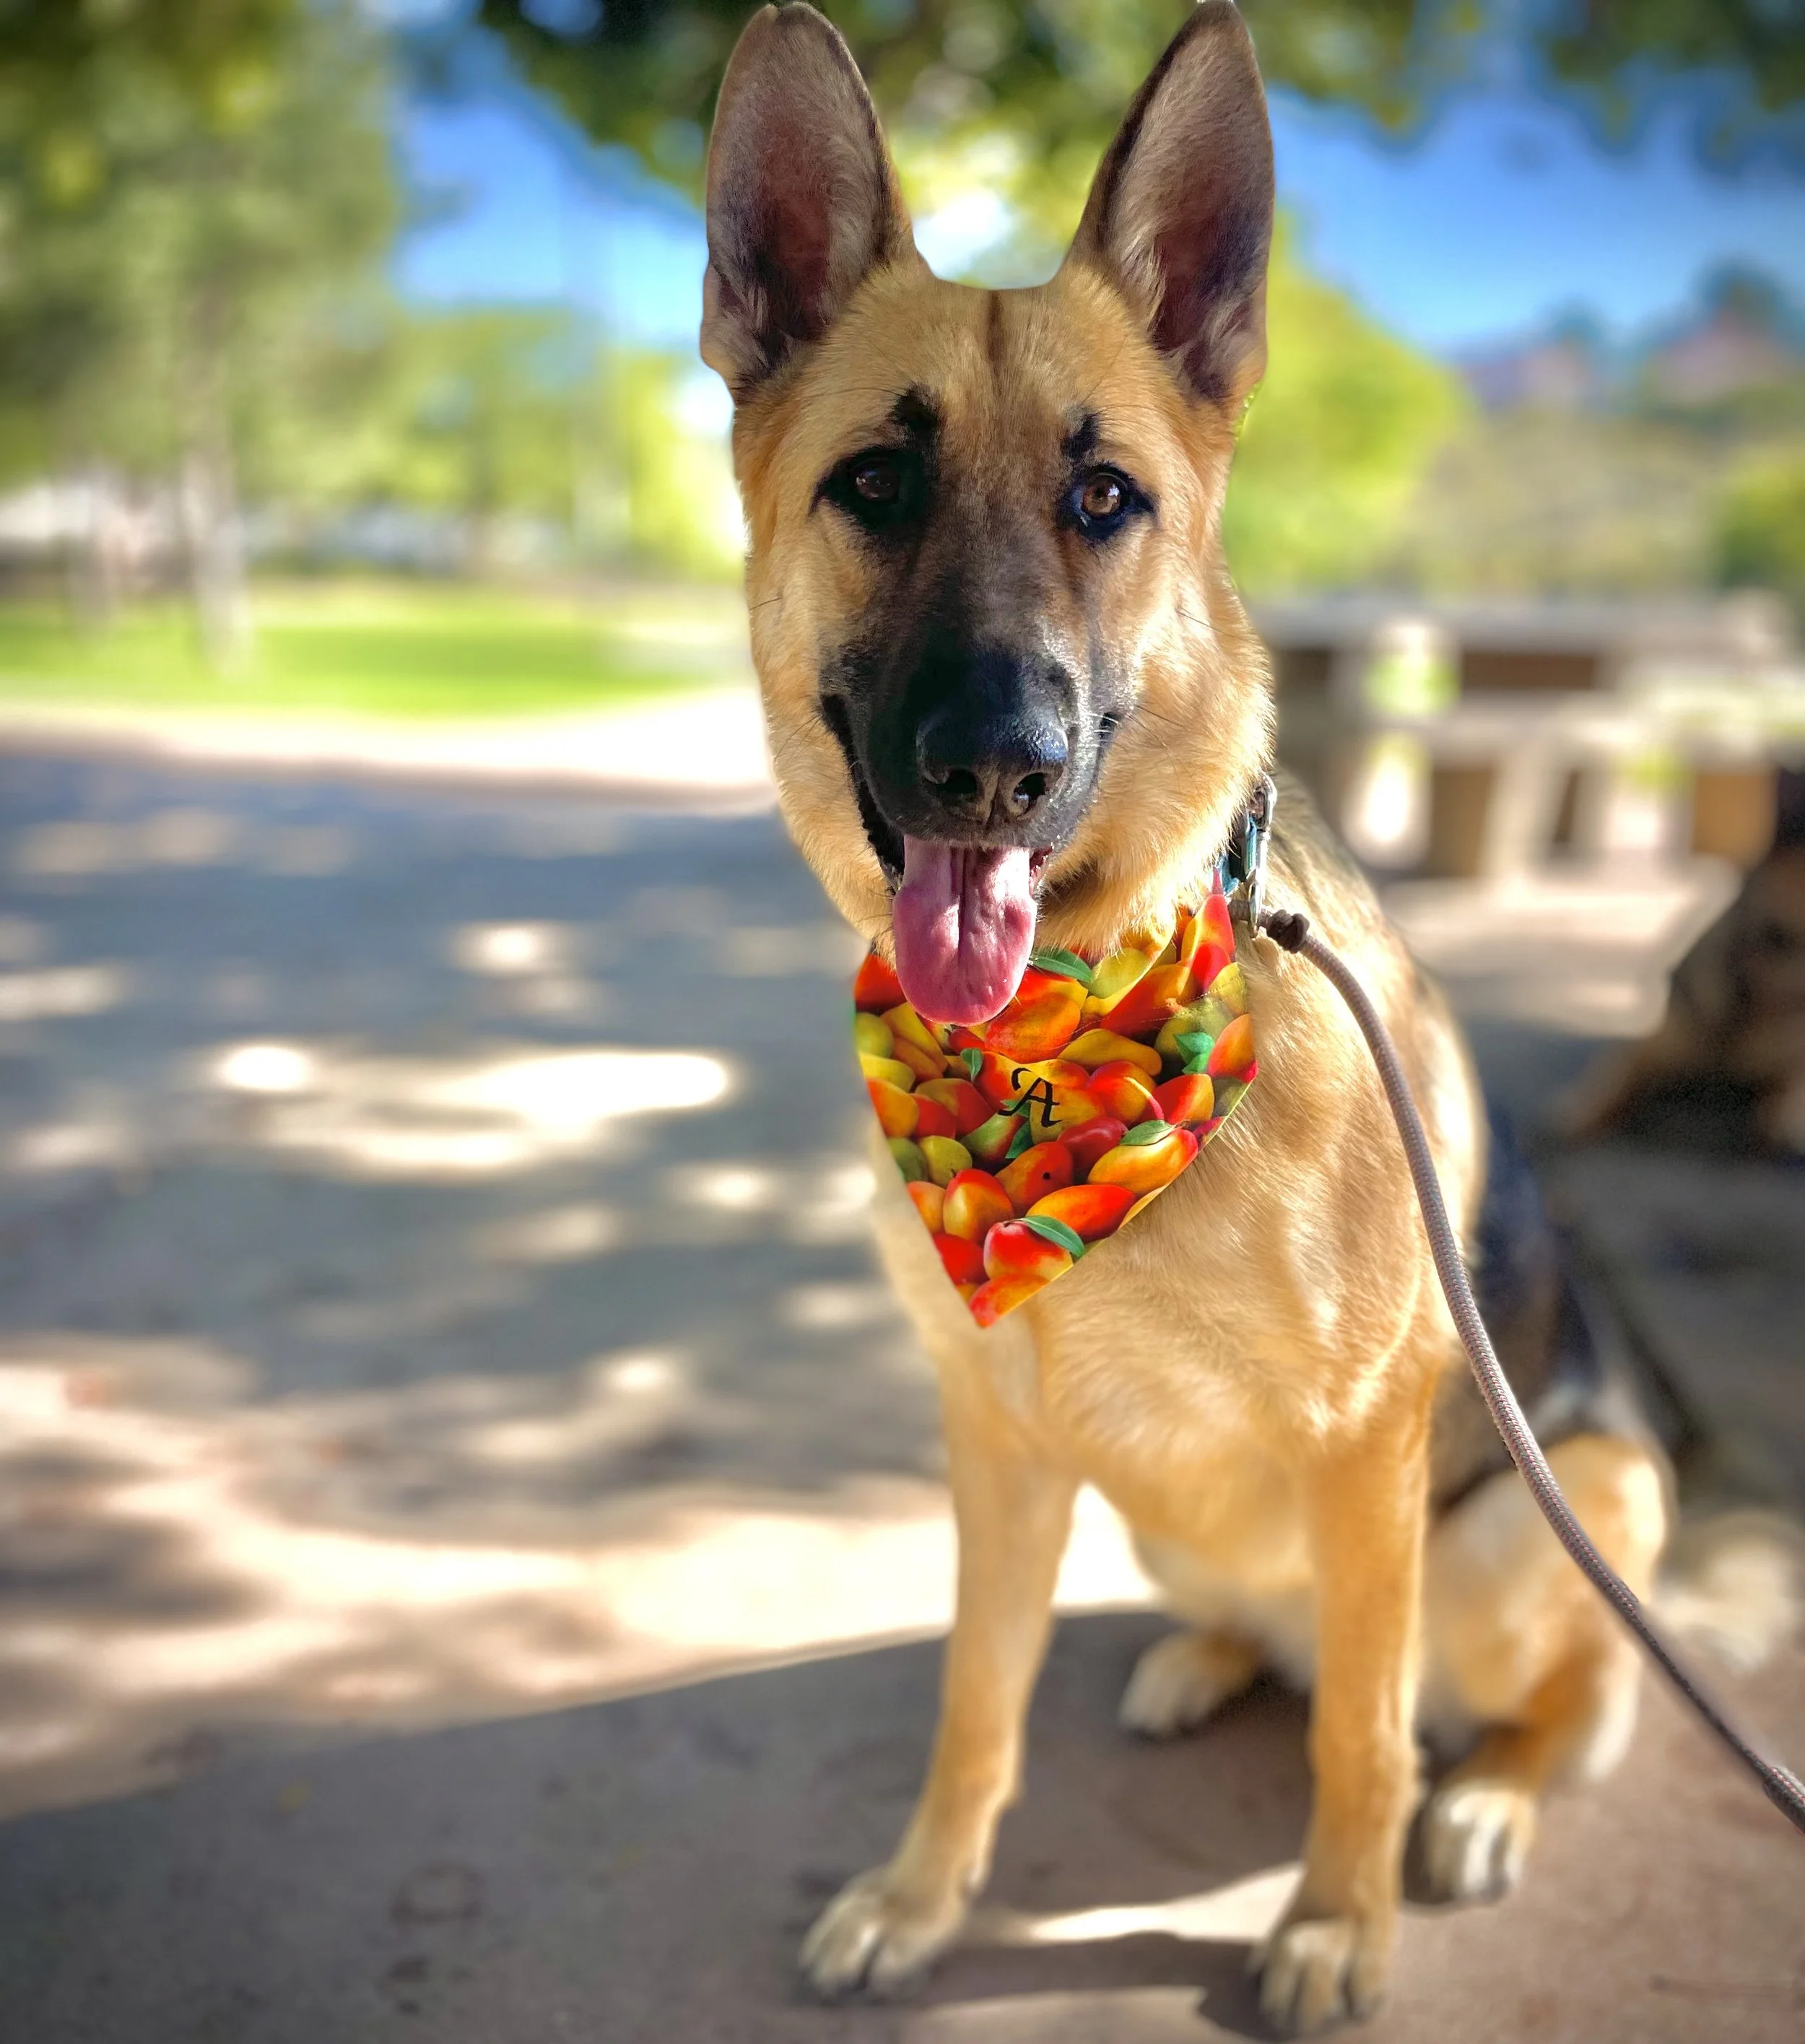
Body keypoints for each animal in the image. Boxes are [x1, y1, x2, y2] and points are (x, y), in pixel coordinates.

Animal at [699, 4, 1778, 2027]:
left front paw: (1336, 1924)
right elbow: (972, 1702)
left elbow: (1362, 1734)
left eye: (1104, 498)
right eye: (873, 484)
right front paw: (922, 1894)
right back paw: (1205, 1658)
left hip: (1546, 1501)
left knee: (1534, 1696)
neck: (1062, 1041)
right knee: (1284, 1647)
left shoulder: (1369, 1450)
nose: (994, 767)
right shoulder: (994, 1440)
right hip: (1173, 1517)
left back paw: (1485, 1797)